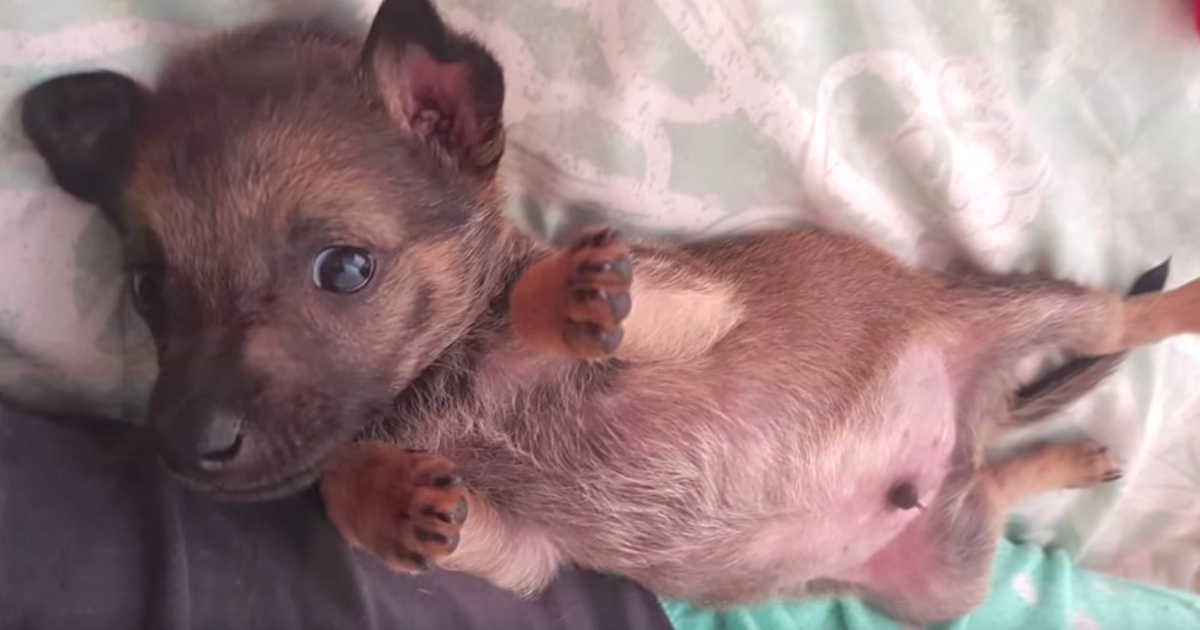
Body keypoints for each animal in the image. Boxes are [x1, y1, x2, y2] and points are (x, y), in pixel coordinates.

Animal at [18, 0, 1200, 619]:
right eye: (145, 288)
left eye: (345, 270)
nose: (184, 446)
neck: (449, 392)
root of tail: (964, 421)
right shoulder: (520, 552)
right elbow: (361, 486)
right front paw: (380, 497)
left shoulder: (690, 300)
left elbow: (557, 296)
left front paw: (557, 296)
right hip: (938, 579)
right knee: (995, 484)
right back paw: (1067, 455)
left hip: (1029, 314)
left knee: (1117, 323)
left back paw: (1176, 306)